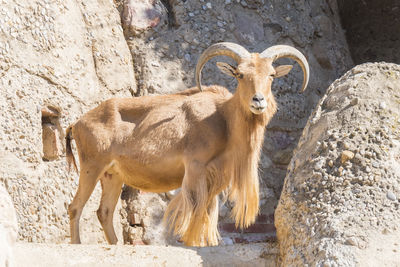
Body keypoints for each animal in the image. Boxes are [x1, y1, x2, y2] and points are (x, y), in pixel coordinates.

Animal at [65, 41, 310, 247]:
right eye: (240, 74)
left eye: (271, 75)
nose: (258, 100)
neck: (223, 118)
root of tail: (77, 123)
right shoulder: (195, 168)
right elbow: (196, 210)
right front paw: (193, 243)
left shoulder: (215, 177)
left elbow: (209, 213)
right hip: (92, 166)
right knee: (75, 207)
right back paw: (77, 244)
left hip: (112, 175)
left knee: (104, 211)